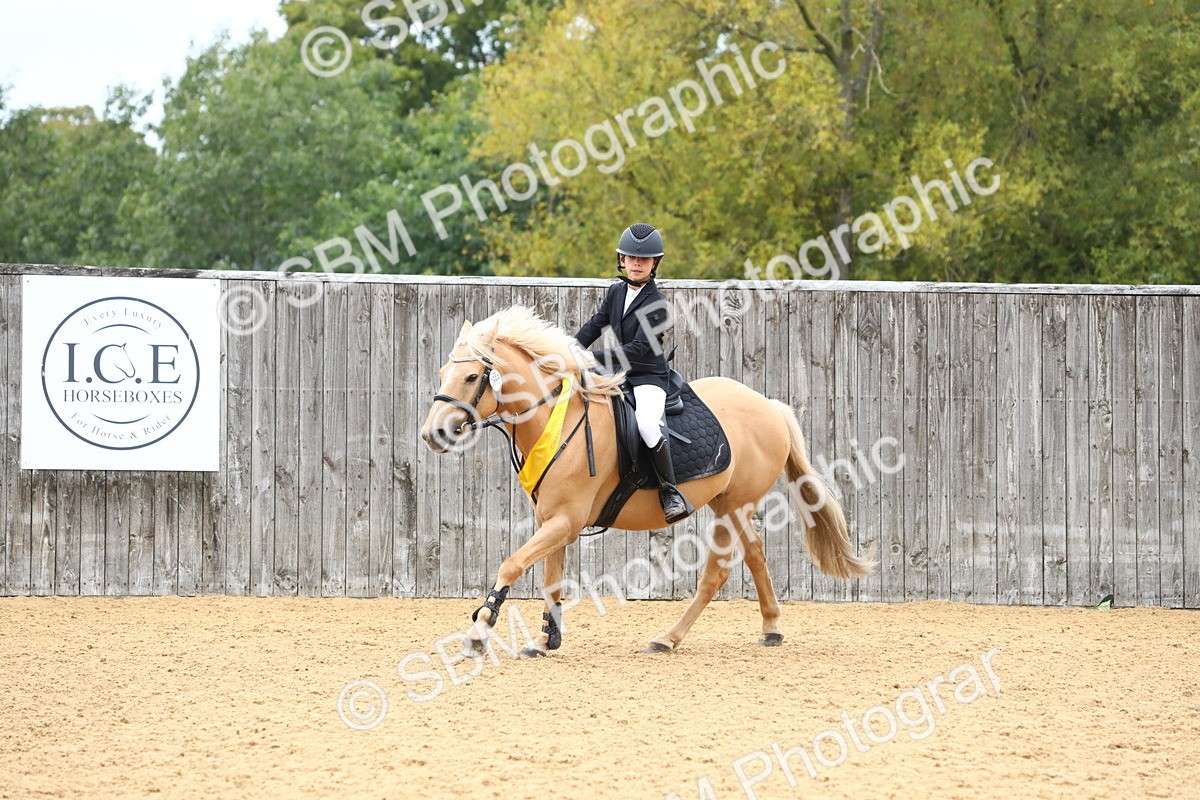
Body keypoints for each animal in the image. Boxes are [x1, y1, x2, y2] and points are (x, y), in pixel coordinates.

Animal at [419, 305, 873, 655]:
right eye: (441, 373)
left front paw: (479, 632)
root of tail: (769, 405)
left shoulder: (565, 521)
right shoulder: (552, 521)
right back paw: (771, 628)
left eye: (473, 377)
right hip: (731, 504)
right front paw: (547, 639)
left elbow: (512, 564)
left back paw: (667, 639)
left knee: (716, 574)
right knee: (757, 557)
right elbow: (550, 580)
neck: (556, 417)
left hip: (734, 507)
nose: (431, 434)